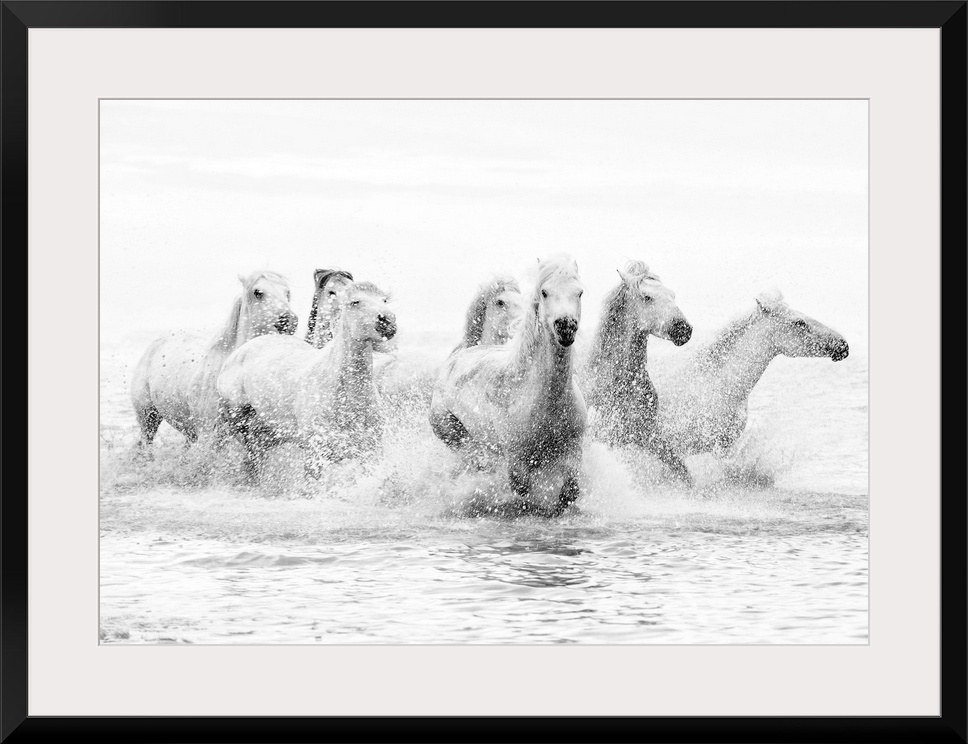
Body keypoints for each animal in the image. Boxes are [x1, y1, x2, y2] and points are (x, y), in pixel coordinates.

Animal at [130, 271, 297, 448]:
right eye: (258, 292)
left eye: (287, 293)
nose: (289, 320)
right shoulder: (209, 437)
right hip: (148, 419)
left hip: (189, 433)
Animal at [216, 280, 396, 482]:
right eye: (355, 302)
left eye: (384, 300)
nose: (387, 321)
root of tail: (238, 352)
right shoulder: (315, 456)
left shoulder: (372, 452)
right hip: (233, 420)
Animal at [428, 255, 586, 517]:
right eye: (544, 292)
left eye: (580, 292)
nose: (565, 325)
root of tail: (460, 355)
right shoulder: (516, 459)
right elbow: (522, 490)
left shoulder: (573, 448)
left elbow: (570, 492)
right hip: (455, 435)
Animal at [583, 260, 693, 482]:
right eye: (647, 297)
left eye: (673, 295)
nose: (683, 329)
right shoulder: (609, 439)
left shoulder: (647, 435)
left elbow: (682, 470)